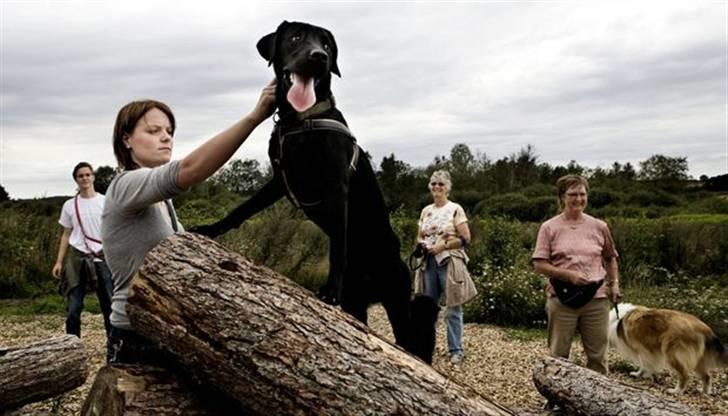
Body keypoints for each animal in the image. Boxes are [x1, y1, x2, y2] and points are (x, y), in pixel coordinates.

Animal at [193, 21, 432, 360]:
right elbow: (242, 209)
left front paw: (329, 290)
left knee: (411, 342)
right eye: (296, 37)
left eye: (327, 45)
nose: (319, 56)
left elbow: (337, 247)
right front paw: (210, 229)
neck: (301, 120)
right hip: (356, 304)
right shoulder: (279, 180)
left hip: (396, 297)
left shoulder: (335, 185)